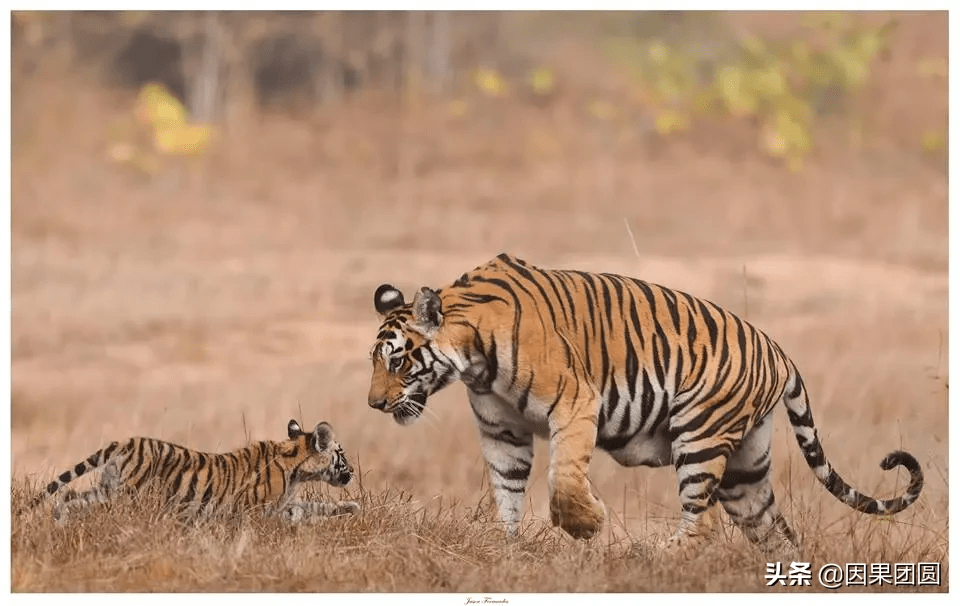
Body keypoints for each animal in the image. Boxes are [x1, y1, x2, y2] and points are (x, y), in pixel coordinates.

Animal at [368, 254, 924, 552]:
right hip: (746, 467)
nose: (373, 404)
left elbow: (563, 479)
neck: (473, 361)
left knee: (702, 524)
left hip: (700, 434)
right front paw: (504, 547)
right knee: (772, 531)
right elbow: (507, 490)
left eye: (396, 362)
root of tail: (779, 351)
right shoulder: (502, 431)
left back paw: (652, 554)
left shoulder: (575, 403)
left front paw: (588, 524)